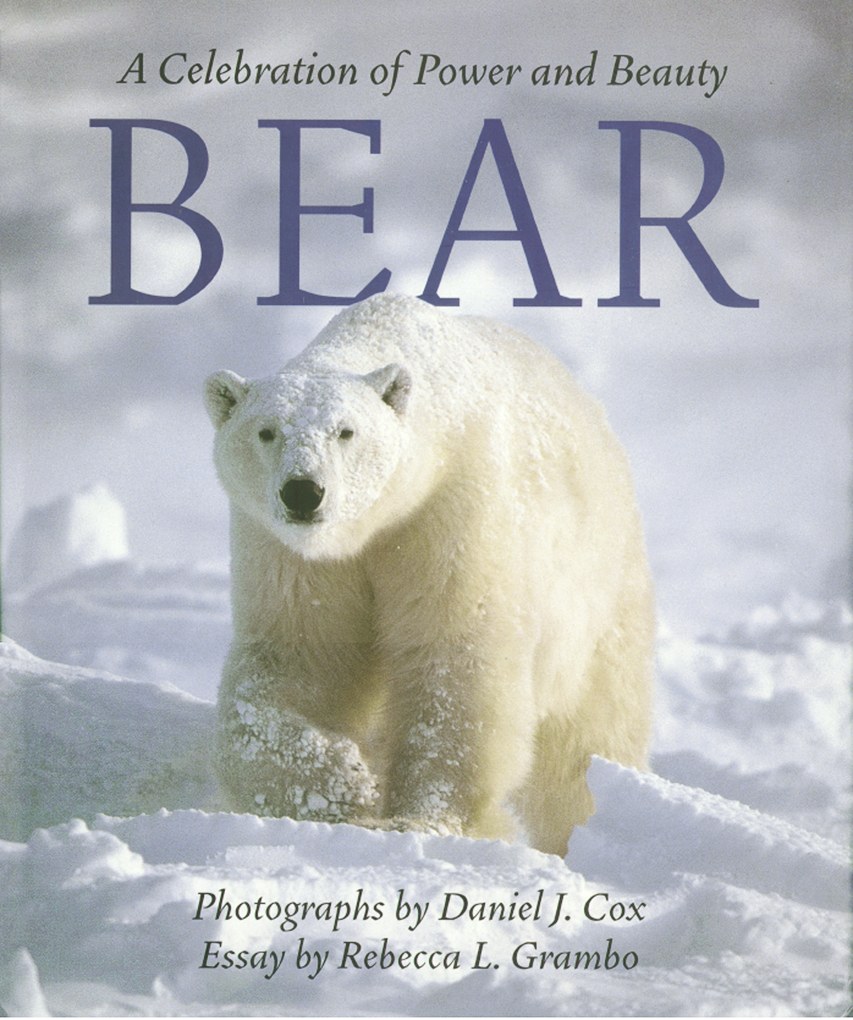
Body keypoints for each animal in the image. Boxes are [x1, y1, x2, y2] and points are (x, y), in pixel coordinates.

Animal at [204, 294, 654, 855]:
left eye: (345, 431)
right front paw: (340, 790)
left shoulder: (451, 510)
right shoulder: (291, 554)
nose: (303, 492)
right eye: (266, 432)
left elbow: (455, 658)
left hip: (597, 598)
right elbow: (296, 658)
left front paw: (421, 820)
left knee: (585, 741)